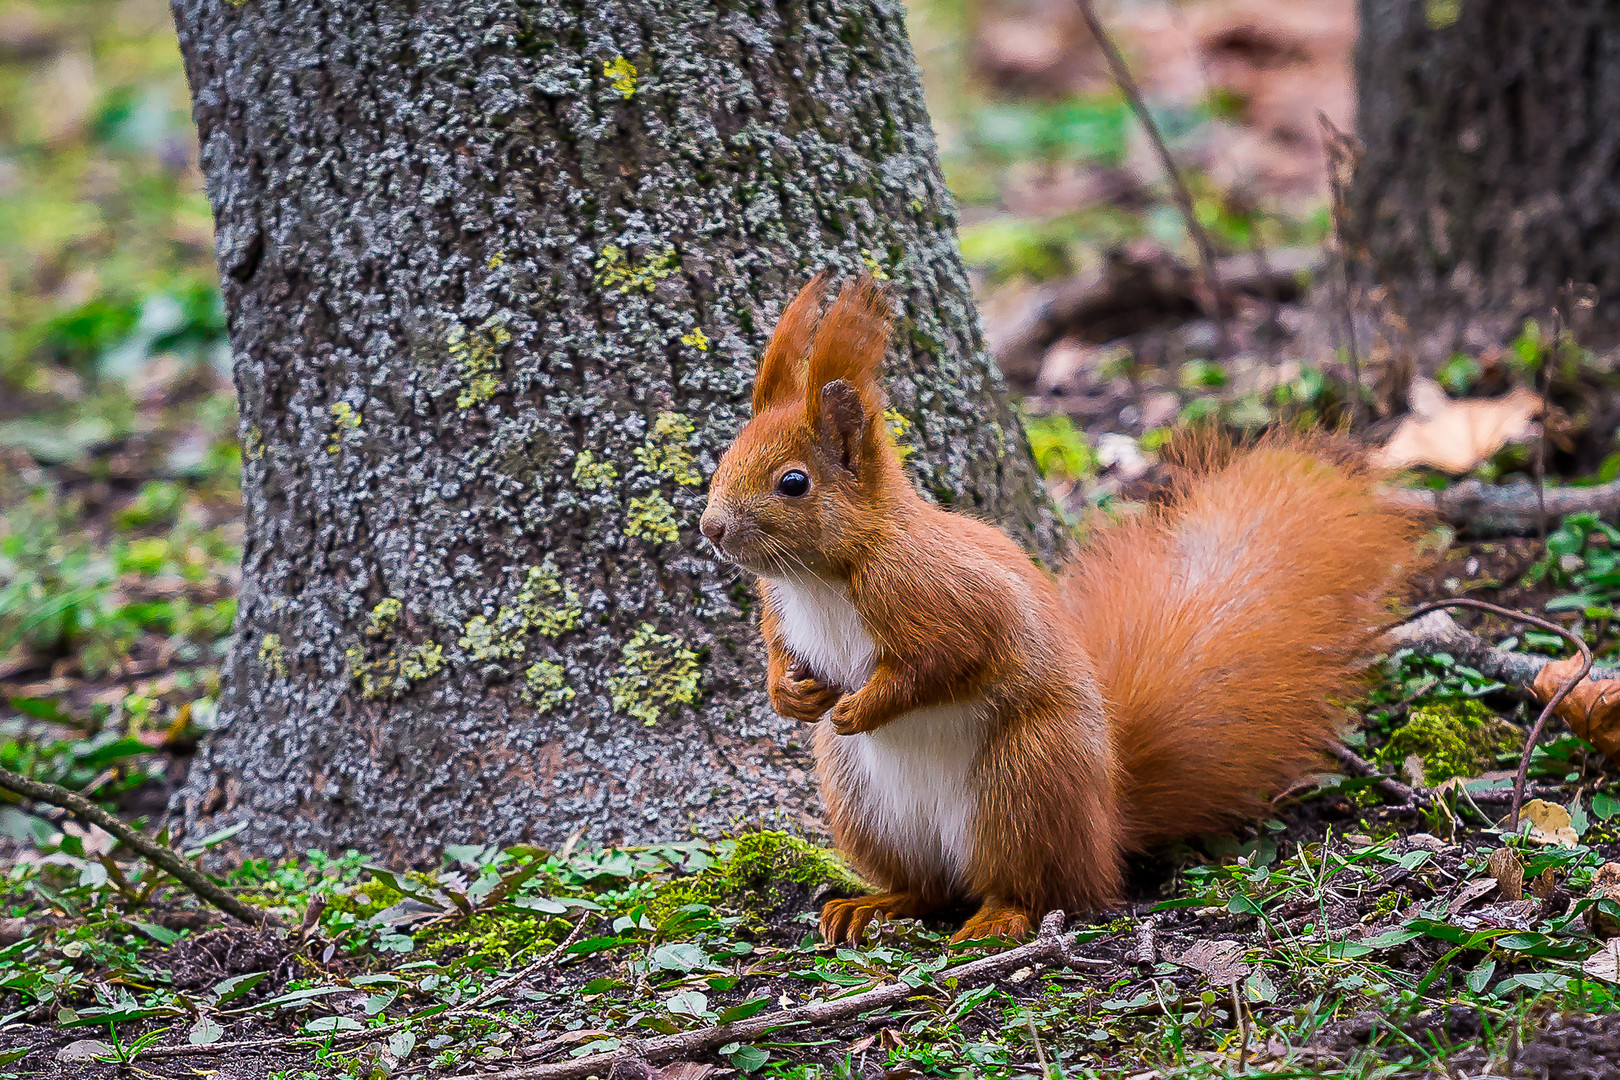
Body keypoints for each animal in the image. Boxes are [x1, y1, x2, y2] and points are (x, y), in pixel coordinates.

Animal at [703, 272, 1425, 945]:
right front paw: (788, 694)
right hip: (864, 806)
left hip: (1028, 781)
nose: (710, 529)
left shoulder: (936, 594)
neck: (822, 577)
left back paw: (999, 915)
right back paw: (876, 902)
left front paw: (862, 707)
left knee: (1041, 888)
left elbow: (944, 662)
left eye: (793, 483)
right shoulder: (780, 605)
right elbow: (778, 648)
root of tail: (1105, 829)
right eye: (724, 459)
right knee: (930, 889)